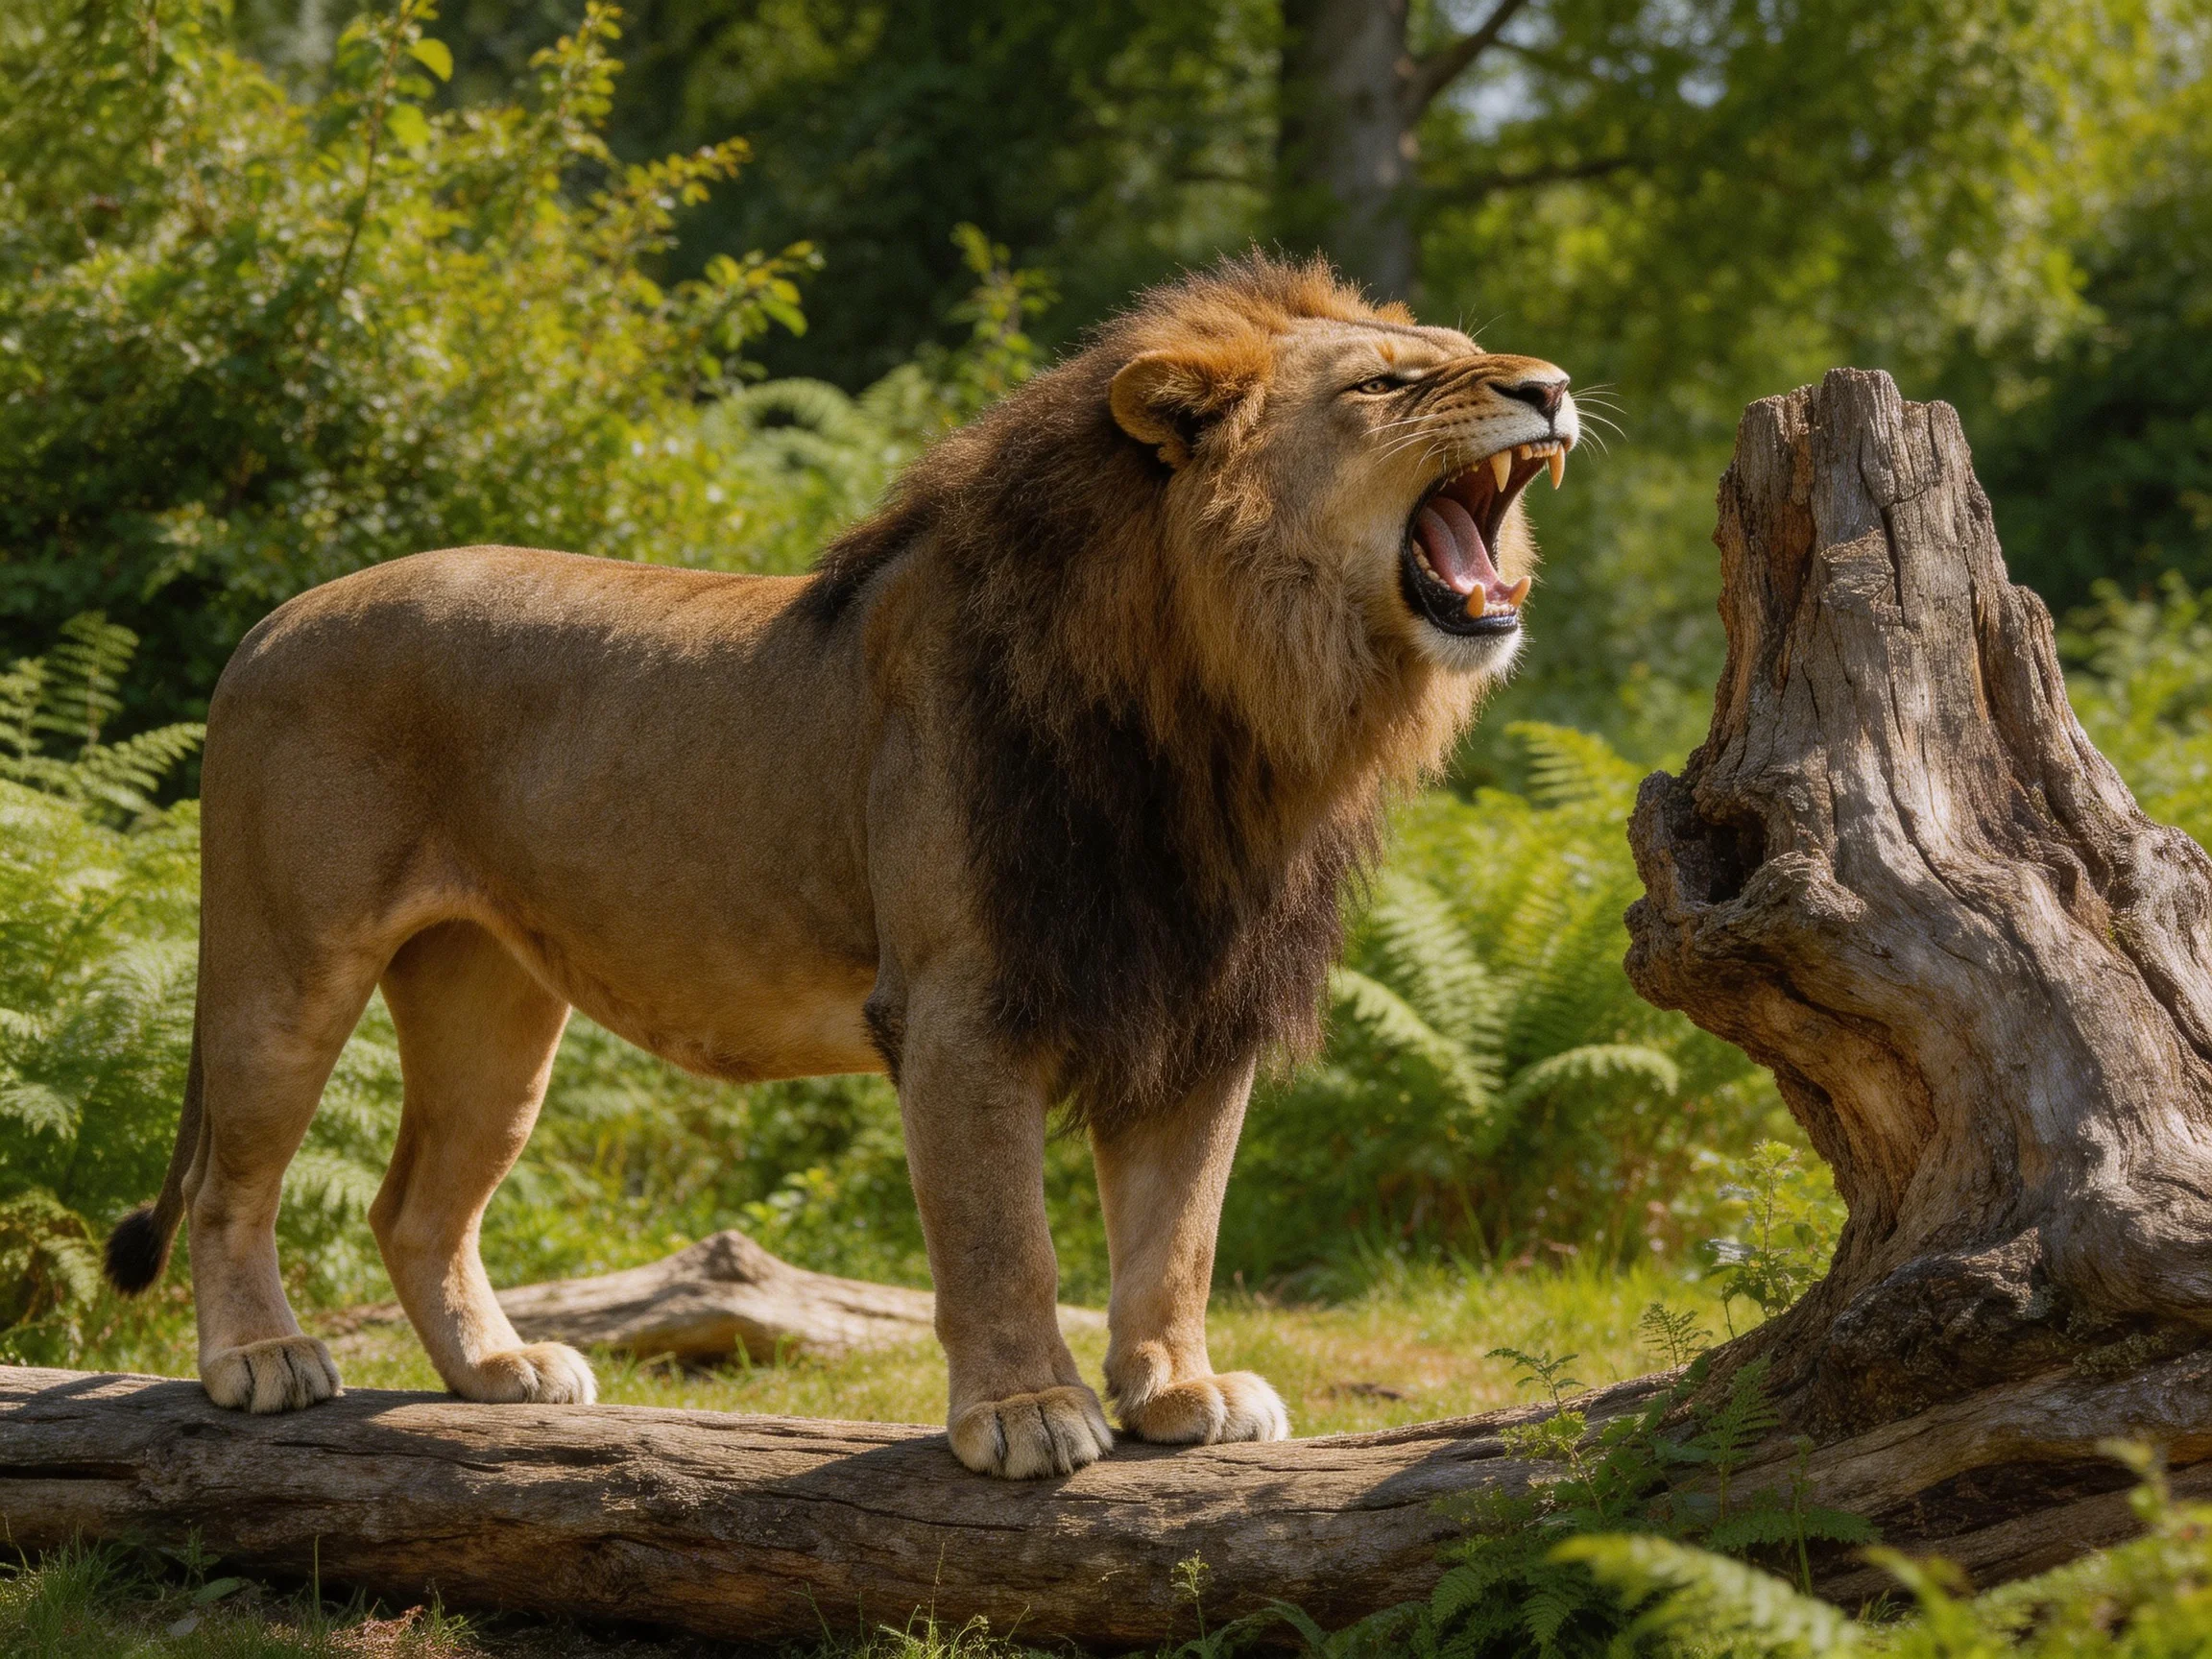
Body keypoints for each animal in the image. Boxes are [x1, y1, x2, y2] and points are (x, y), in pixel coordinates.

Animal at [102, 252, 1576, 1478]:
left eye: (1463, 350)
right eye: (1387, 382)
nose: (1554, 387)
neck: (1232, 711)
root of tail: (269, 623)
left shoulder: (1196, 1009)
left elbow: (1178, 1237)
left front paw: (1177, 1393)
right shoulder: (964, 1005)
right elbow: (1004, 1238)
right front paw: (1025, 1415)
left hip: (493, 1008)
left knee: (414, 1205)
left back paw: (497, 1371)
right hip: (285, 968)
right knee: (235, 1186)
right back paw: (259, 1359)